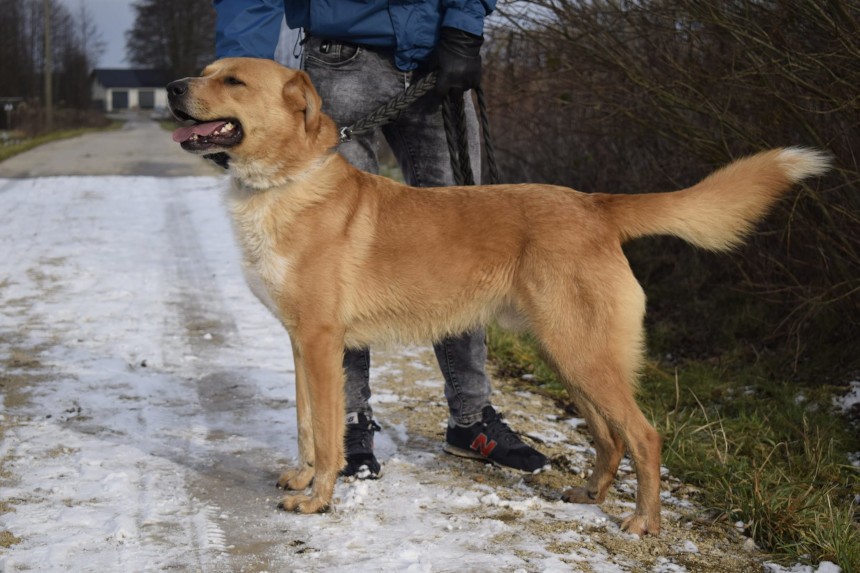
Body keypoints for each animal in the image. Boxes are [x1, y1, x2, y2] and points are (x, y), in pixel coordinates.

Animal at [165, 55, 828, 536]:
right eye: (207, 69)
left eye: (233, 80)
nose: (171, 87)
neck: (285, 185)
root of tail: (596, 205)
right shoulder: (302, 345)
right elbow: (306, 425)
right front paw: (302, 479)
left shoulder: (324, 345)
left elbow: (328, 435)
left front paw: (319, 498)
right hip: (571, 356)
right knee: (610, 436)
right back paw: (589, 494)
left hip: (584, 355)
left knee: (644, 435)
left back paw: (643, 522)